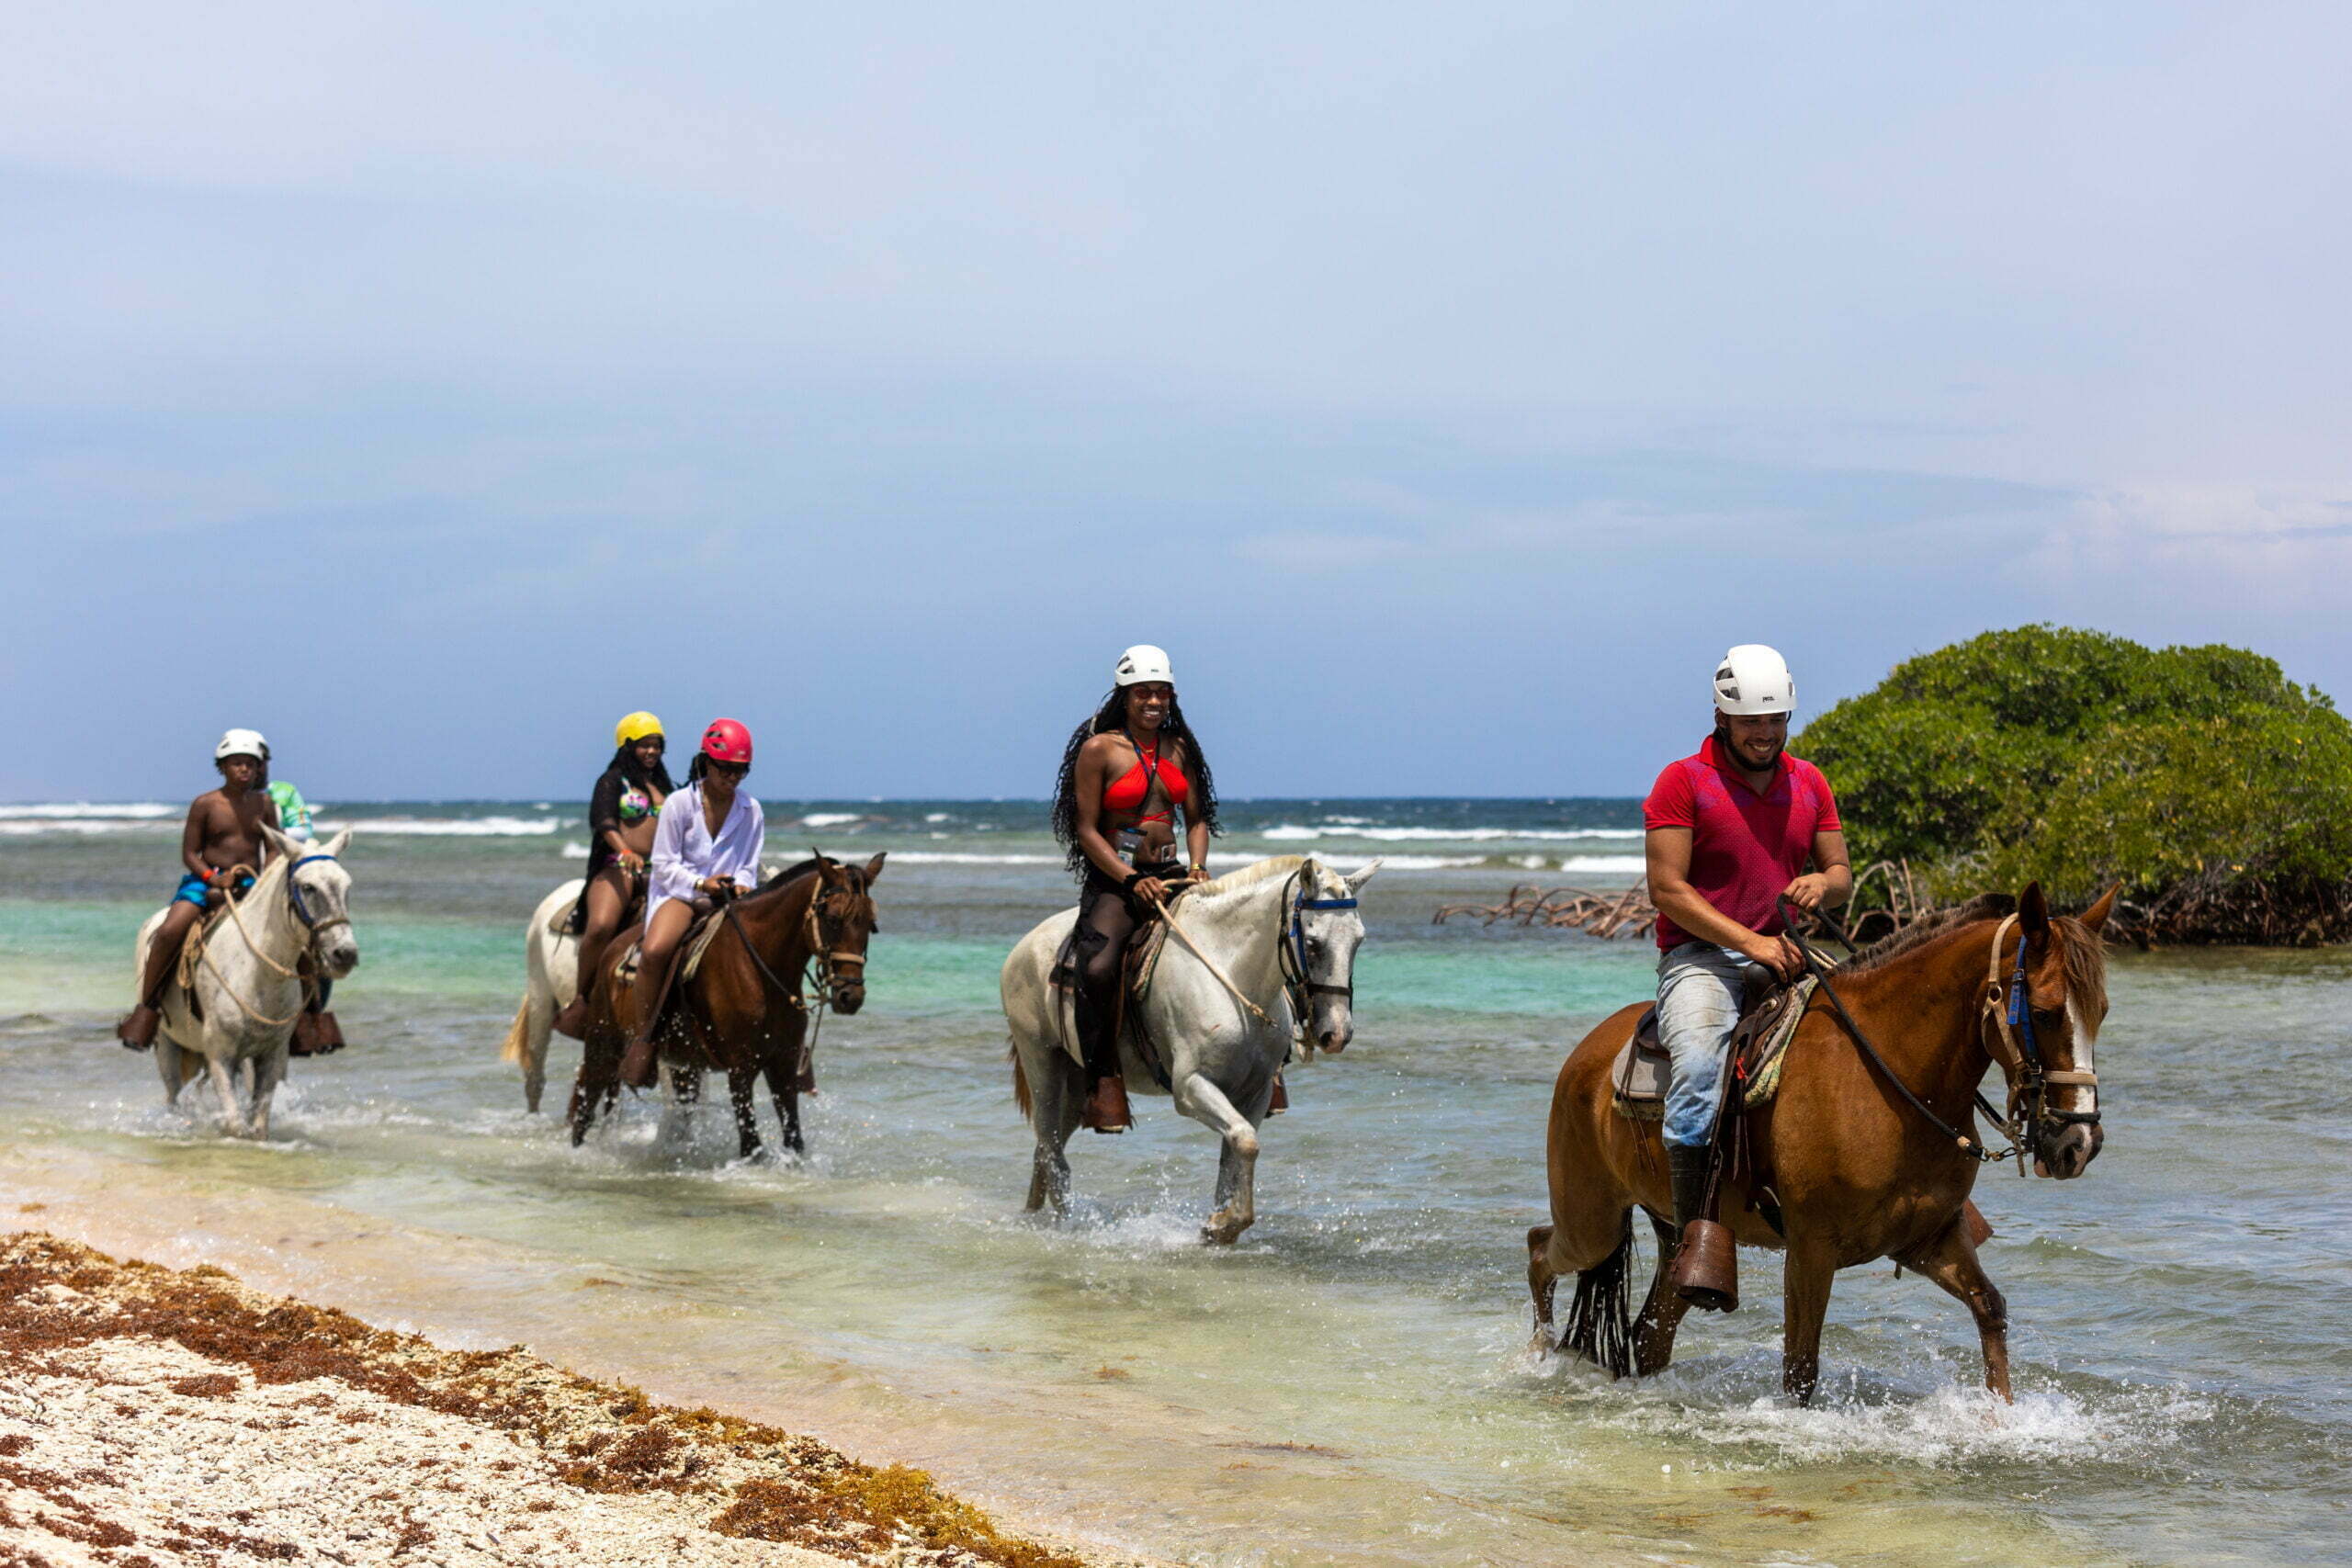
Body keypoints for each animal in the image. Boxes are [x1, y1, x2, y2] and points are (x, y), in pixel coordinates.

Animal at [134, 822, 357, 1142]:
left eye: (346, 886)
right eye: (308, 887)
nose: (345, 954)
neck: (257, 975)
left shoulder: (272, 1056)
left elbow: (258, 1124)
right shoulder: (220, 1055)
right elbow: (235, 1125)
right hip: (167, 1042)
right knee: (174, 1096)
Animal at [566, 851, 884, 1161]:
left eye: (870, 923)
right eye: (832, 918)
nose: (850, 995)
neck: (760, 968)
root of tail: (613, 947)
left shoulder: (783, 1064)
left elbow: (794, 1140)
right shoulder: (741, 1069)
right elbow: (751, 1146)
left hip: (683, 1065)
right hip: (603, 1047)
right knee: (584, 1107)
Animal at [997, 851, 1374, 1241]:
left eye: (1358, 941)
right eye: (1313, 943)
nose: (1337, 1033)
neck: (1230, 971)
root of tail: (1022, 948)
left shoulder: (1255, 1094)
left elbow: (1237, 1152)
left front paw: (1220, 1226)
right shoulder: (1191, 1087)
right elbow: (1245, 1140)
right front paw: (1222, 1225)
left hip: (1074, 1084)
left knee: (1045, 1149)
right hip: (1042, 1063)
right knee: (1051, 1150)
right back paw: (1068, 1226)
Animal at [1523, 884, 2117, 1410]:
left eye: (2103, 1012)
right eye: (2044, 1012)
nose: (2079, 1143)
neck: (1889, 1075)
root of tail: (1588, 1050)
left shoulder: (1931, 1239)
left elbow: (1989, 1308)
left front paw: (2003, 1417)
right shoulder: (1812, 1248)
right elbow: (1801, 1367)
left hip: (1675, 1240)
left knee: (1648, 1335)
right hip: (1592, 1222)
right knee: (1538, 1250)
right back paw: (1537, 1359)